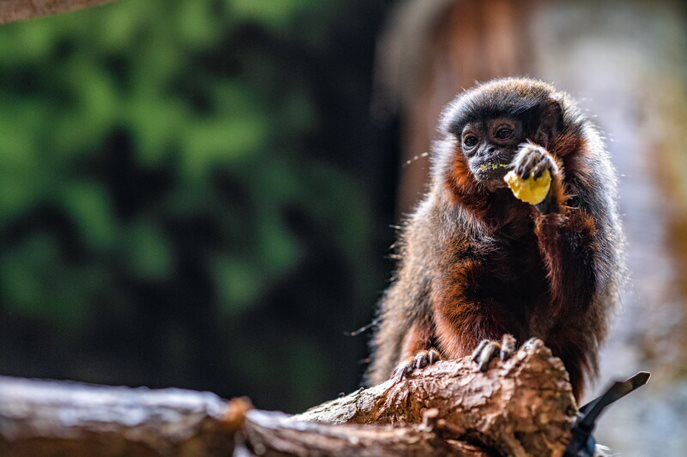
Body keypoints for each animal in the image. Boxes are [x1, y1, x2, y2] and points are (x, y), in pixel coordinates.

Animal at [366, 77, 623, 401]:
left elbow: (575, 298)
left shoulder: (587, 186)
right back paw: (421, 358)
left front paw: (548, 194)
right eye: (470, 140)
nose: (483, 154)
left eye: (502, 133)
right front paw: (493, 344)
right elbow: (459, 291)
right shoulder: (453, 212)